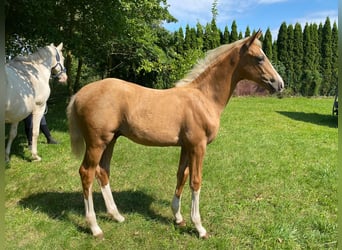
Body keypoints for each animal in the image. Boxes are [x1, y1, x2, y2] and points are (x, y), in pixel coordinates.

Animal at [67, 31, 284, 238]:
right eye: (259, 58)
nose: (279, 84)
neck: (204, 98)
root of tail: (79, 94)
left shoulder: (186, 146)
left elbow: (182, 175)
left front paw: (178, 217)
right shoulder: (198, 146)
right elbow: (195, 181)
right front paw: (199, 227)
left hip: (111, 140)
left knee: (103, 171)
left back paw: (117, 216)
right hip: (96, 143)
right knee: (86, 173)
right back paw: (95, 228)